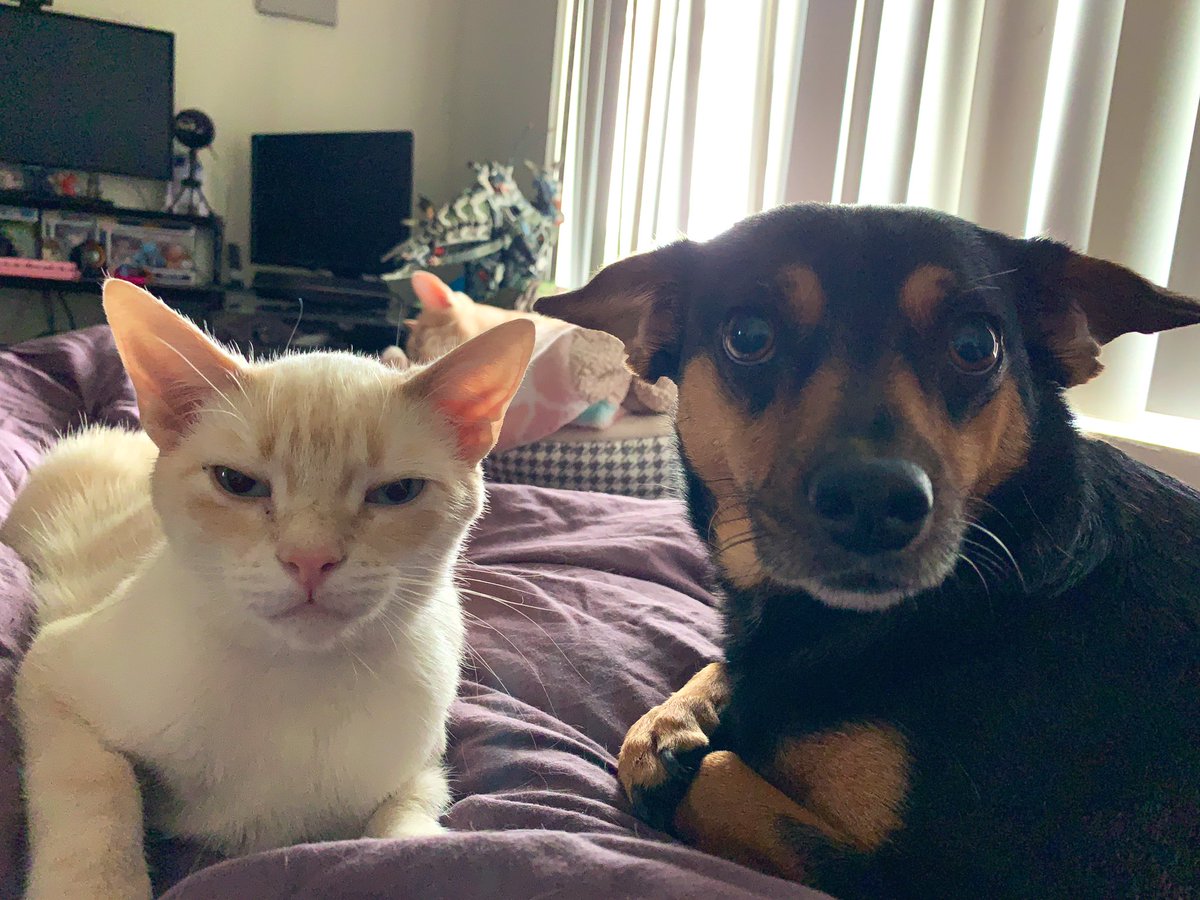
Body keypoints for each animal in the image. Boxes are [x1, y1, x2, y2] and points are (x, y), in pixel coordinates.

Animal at [2, 278, 534, 900]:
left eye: (397, 492)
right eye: (237, 483)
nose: (309, 559)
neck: (295, 682)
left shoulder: (422, 766)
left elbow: (405, 825)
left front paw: (422, 852)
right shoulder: (50, 677)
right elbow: (97, 796)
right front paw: (96, 885)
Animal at [536, 204, 1200, 898]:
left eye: (975, 345)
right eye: (748, 335)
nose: (873, 500)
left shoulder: (934, 876)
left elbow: (714, 774)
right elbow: (715, 678)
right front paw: (669, 725)